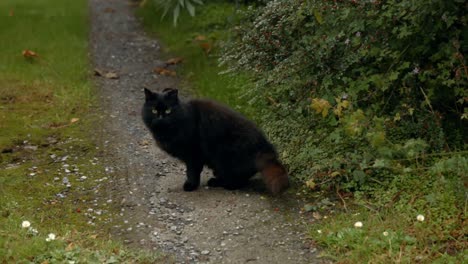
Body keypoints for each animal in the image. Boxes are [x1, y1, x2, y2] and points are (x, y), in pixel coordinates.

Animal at [142, 88, 288, 194]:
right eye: (154, 110)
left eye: (168, 110)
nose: (160, 118)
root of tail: (266, 147)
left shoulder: (194, 154)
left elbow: (192, 172)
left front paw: (191, 186)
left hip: (224, 157)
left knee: (238, 181)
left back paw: (219, 184)